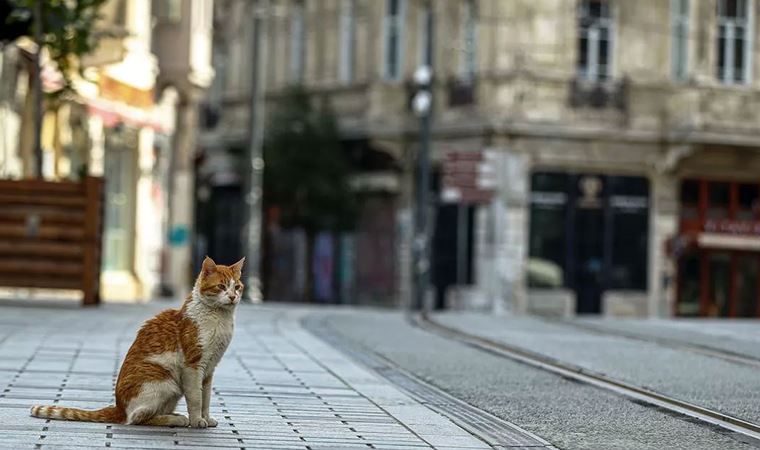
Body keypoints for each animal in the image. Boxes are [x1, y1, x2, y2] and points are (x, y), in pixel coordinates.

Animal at [29, 256, 243, 428]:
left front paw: (206, 418)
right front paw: (198, 420)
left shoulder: (209, 369)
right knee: (136, 418)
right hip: (166, 382)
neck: (220, 320)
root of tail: (118, 408)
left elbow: (206, 398)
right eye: (221, 286)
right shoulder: (194, 366)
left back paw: (174, 415)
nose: (233, 296)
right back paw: (177, 419)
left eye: (237, 287)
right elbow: (196, 398)